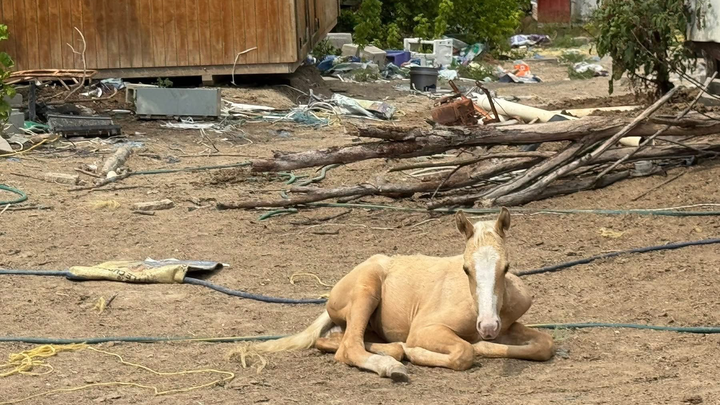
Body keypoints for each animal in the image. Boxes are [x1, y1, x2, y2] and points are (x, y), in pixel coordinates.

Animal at [249, 208, 554, 381]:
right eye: (466, 268)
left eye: (506, 267)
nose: (488, 326)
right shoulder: (425, 329)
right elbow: (463, 353)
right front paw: (417, 352)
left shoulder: (508, 325)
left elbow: (545, 344)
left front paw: (484, 345)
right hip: (367, 289)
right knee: (349, 347)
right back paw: (393, 365)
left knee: (333, 340)